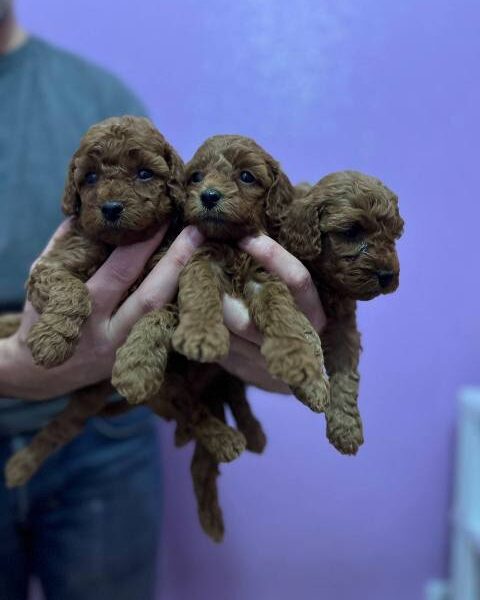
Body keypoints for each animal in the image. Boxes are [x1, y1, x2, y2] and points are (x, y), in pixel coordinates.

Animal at [172, 132, 330, 412]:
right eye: (197, 177)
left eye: (246, 176)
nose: (209, 196)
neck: (233, 242)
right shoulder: (202, 260)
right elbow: (200, 293)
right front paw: (200, 335)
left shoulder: (264, 277)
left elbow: (283, 315)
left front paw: (297, 362)